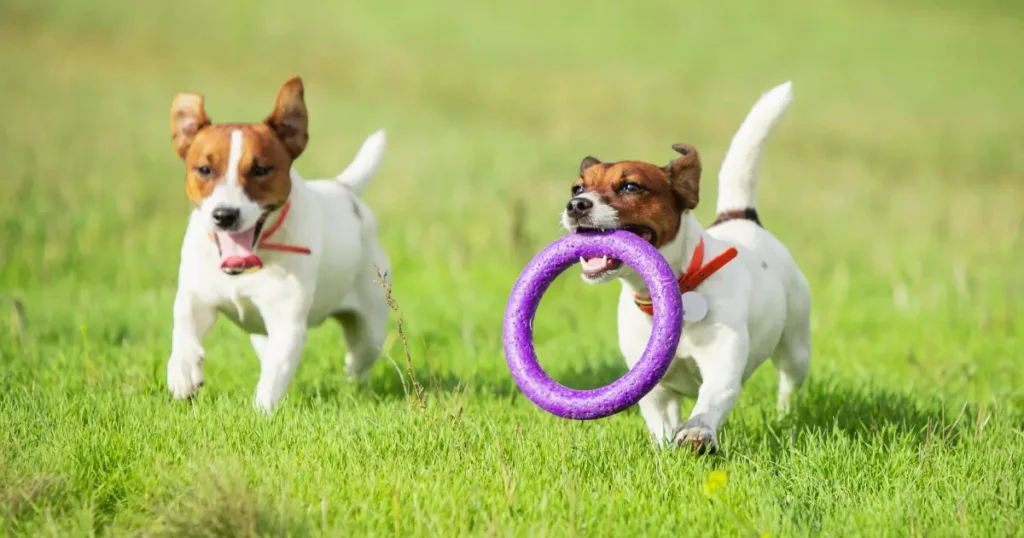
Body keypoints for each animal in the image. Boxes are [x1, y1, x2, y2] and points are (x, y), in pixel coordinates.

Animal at [165, 75, 389, 411]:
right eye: (204, 169)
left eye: (261, 170)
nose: (225, 215)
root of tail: (344, 188)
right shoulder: (196, 296)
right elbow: (184, 327)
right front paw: (183, 373)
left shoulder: (287, 324)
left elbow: (272, 378)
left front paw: (260, 413)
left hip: (371, 325)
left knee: (359, 358)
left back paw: (353, 379)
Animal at [561, 81, 806, 450]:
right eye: (578, 187)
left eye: (630, 186)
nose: (576, 204)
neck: (676, 291)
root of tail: (740, 216)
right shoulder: (655, 390)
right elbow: (661, 424)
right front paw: (665, 449)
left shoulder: (721, 367)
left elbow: (710, 401)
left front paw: (697, 432)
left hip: (796, 349)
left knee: (788, 386)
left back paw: (785, 417)